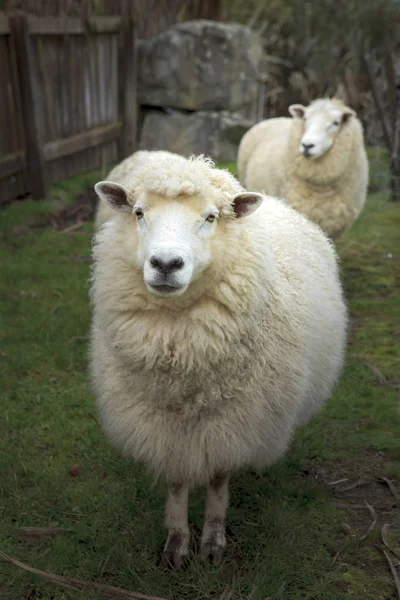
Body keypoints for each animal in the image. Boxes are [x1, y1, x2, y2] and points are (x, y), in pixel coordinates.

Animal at [90, 152, 346, 568]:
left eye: (210, 217)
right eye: (139, 212)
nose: (166, 264)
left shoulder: (234, 422)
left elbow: (218, 480)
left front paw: (212, 543)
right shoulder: (165, 429)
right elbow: (176, 482)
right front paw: (177, 544)